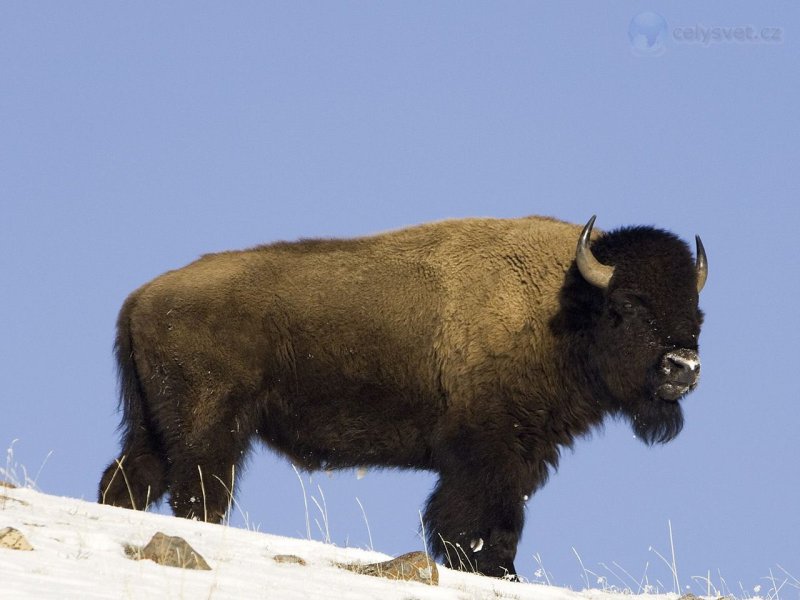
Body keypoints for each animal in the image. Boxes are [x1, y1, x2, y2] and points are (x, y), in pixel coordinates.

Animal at [100, 214, 708, 576]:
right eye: (627, 306)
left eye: (697, 313)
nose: (683, 367)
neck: (564, 306)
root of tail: (140, 298)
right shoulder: (487, 457)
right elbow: (478, 524)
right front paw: (496, 572)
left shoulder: (522, 455)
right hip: (209, 428)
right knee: (199, 493)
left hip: (154, 428)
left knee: (130, 480)